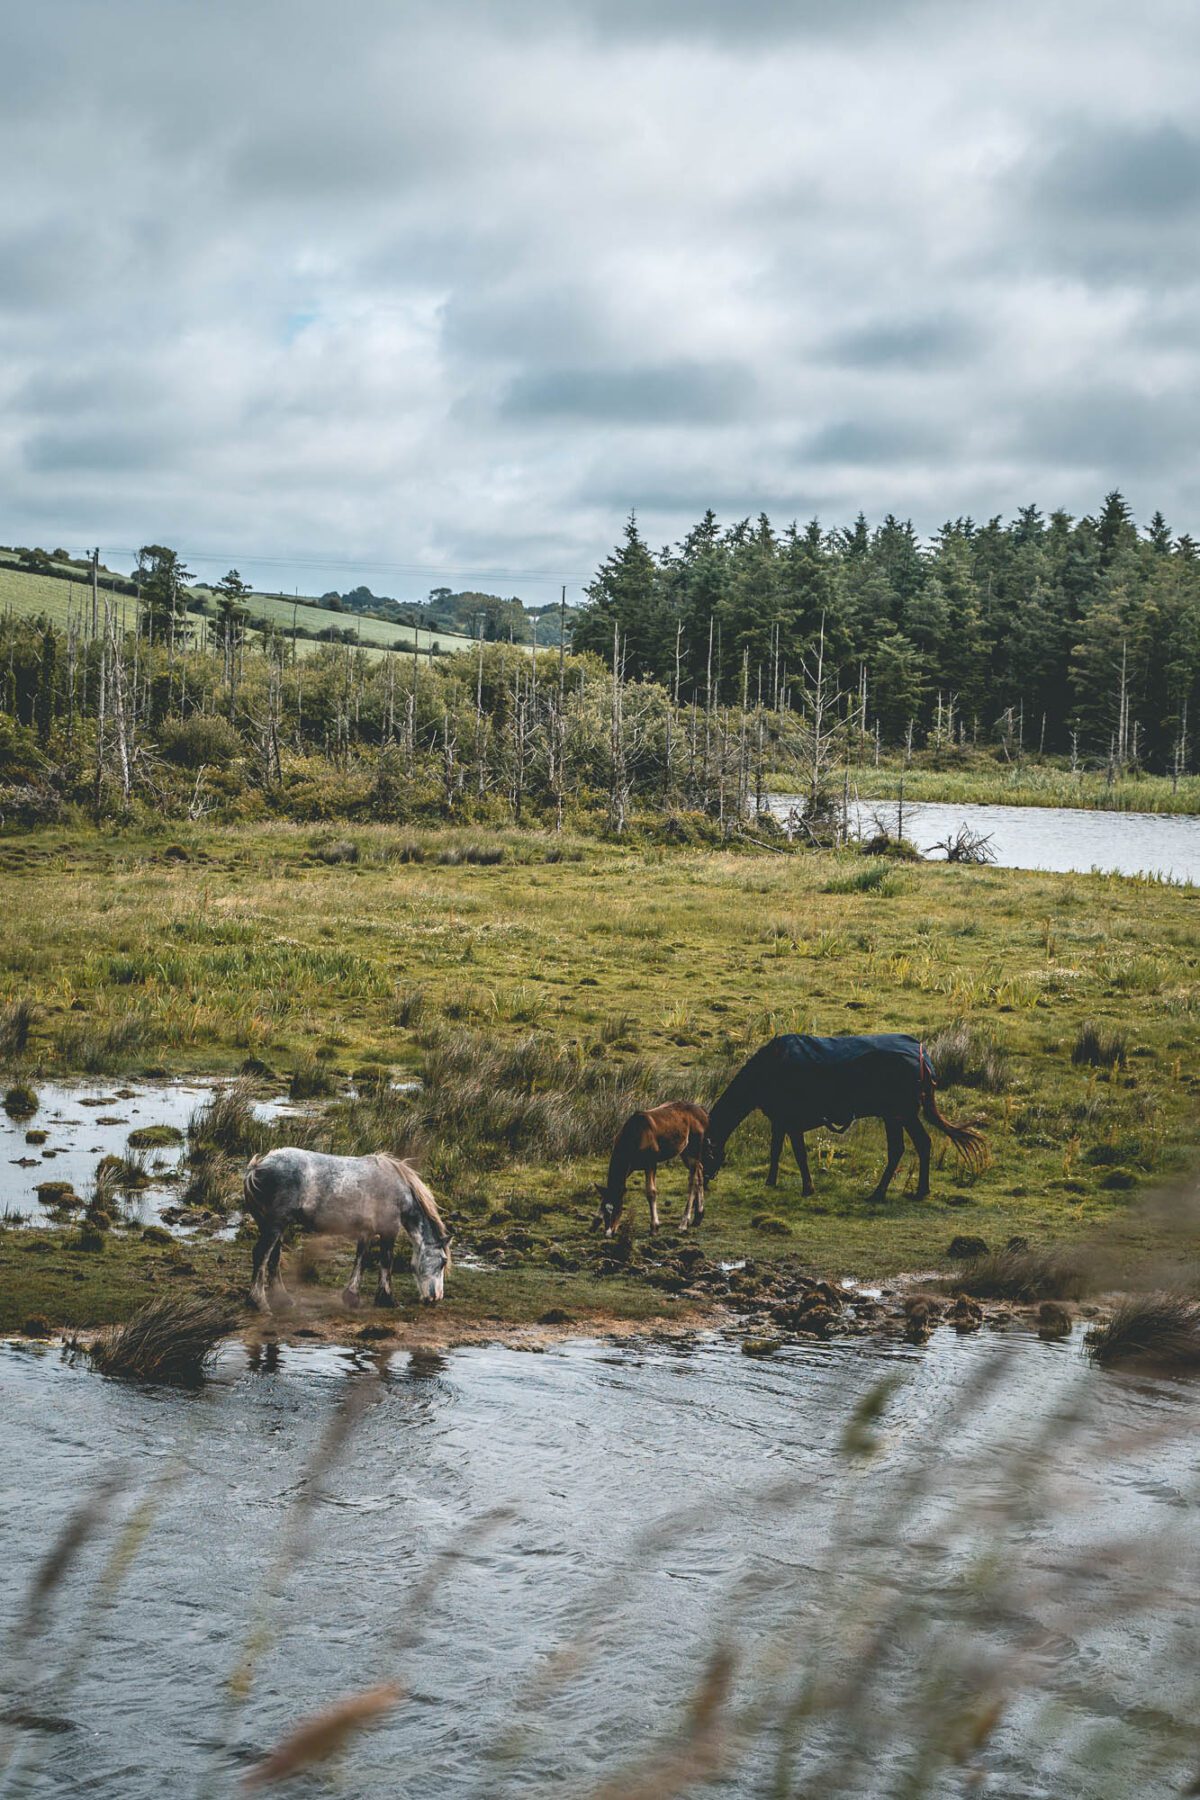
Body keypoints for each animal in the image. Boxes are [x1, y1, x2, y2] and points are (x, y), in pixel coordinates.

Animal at [241, 1144, 453, 1317]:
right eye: (443, 1262)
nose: (435, 1298)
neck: (397, 1189)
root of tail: (257, 1168)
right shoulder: (389, 1229)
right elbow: (386, 1262)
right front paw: (387, 1300)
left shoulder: (366, 1231)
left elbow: (361, 1259)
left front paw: (352, 1297)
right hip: (275, 1225)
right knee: (261, 1255)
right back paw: (259, 1303)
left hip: (275, 1227)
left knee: (273, 1259)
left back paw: (283, 1299)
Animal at [597, 1101, 708, 1231]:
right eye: (606, 1211)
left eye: (618, 1208)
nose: (609, 1232)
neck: (633, 1137)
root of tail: (704, 1113)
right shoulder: (630, 1166)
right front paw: (595, 1221)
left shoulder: (650, 1162)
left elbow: (651, 1192)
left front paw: (654, 1226)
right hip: (685, 1152)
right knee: (700, 1171)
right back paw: (698, 1216)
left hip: (694, 1150)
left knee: (693, 1181)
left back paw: (684, 1222)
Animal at [705, 1036, 985, 1202]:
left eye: (704, 1151)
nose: (704, 1182)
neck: (768, 1070)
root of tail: (922, 1059)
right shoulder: (780, 1121)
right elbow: (775, 1152)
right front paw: (771, 1182)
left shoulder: (792, 1123)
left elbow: (799, 1155)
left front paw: (807, 1189)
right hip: (901, 1115)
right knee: (923, 1144)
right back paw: (919, 1191)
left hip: (897, 1115)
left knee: (899, 1149)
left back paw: (878, 1193)